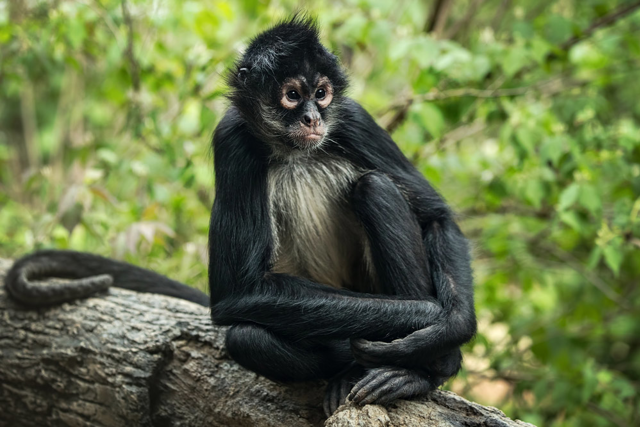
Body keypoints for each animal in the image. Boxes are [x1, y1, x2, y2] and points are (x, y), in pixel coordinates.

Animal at [5, 16, 476, 417]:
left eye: (321, 93)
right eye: (292, 95)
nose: (313, 117)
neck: (293, 150)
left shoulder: (352, 119)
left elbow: (437, 217)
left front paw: (447, 329)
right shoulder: (231, 137)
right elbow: (239, 295)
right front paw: (429, 318)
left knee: (375, 187)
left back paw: (415, 372)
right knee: (248, 337)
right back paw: (354, 367)